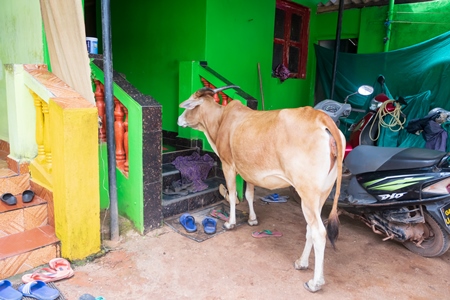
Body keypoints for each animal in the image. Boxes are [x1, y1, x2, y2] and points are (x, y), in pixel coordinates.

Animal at [177, 85, 344, 292]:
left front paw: (230, 223)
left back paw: (315, 282)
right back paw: (301, 262)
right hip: (322, 193)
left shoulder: (228, 165)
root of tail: (321, 117)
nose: (178, 119)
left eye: (190, 103)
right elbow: (249, 195)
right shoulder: (249, 171)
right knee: (310, 229)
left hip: (307, 193)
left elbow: (232, 194)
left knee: (319, 232)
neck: (220, 120)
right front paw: (252, 219)